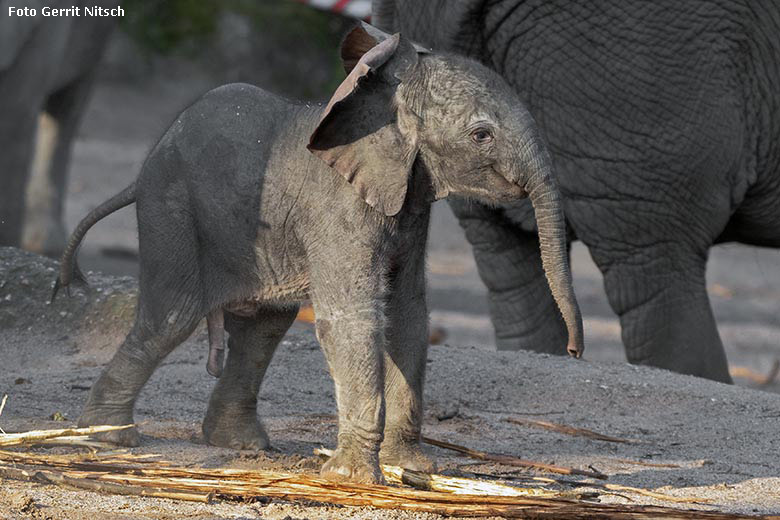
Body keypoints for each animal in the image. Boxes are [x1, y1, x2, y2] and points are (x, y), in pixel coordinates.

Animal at [54, 24, 580, 484]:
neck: (385, 97)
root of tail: (148, 163)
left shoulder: (410, 201)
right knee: (173, 317)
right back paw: (106, 439)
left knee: (265, 326)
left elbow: (408, 314)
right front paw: (354, 479)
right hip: (172, 207)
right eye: (481, 135)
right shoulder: (339, 209)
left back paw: (241, 445)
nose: (575, 350)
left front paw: (411, 470)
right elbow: (352, 318)